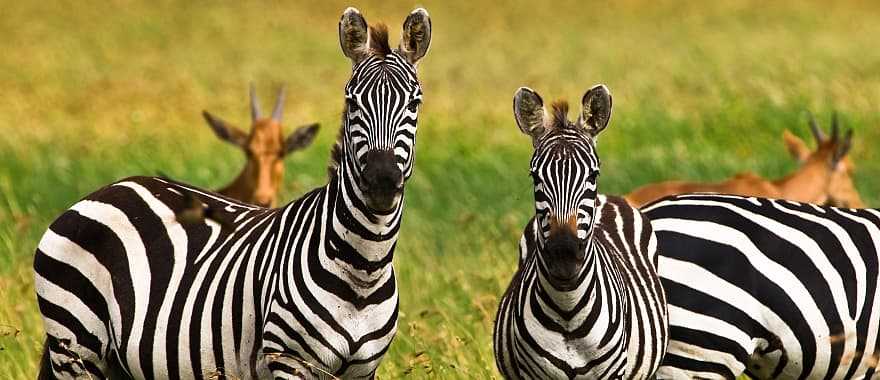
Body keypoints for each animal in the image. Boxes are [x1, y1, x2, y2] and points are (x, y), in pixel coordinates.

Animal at [34, 7, 434, 378]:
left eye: (414, 104)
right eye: (352, 103)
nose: (382, 181)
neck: (363, 269)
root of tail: (108, 189)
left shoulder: (363, 370)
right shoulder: (288, 360)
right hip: (76, 348)